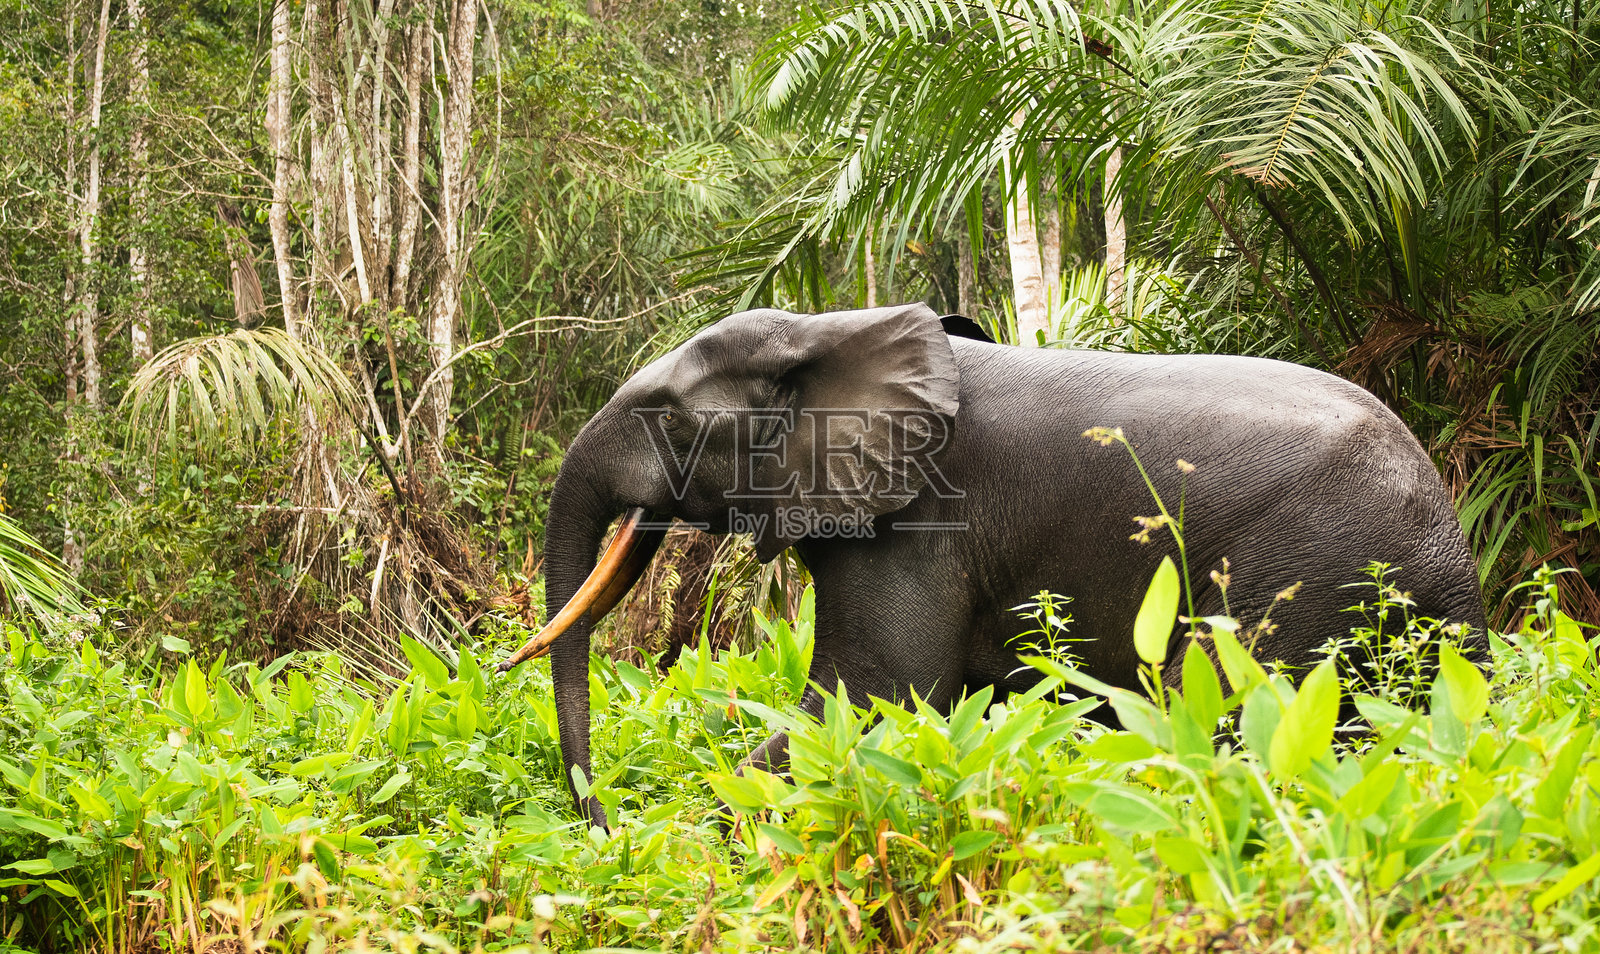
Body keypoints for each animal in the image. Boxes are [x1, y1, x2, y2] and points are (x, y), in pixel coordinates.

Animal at [499, 302, 1485, 830]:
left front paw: (705, 829)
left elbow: (871, 698)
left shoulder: (925, 525)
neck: (834, 328)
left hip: (1299, 579)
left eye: (670, 420)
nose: (603, 825)